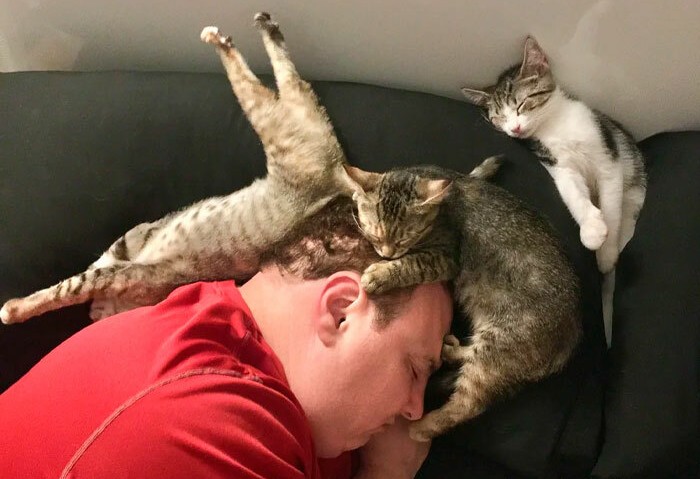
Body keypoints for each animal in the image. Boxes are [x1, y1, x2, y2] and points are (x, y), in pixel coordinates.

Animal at [0, 13, 354, 325]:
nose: (93, 314)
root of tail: (338, 171)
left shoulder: (120, 271)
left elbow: (66, 288)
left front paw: (14, 309)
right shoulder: (128, 247)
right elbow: (87, 271)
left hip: (271, 121)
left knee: (268, 76)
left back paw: (230, 35)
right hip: (284, 115)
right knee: (288, 76)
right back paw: (259, 26)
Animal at [344, 162, 582, 442]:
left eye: (404, 239)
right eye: (376, 235)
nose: (387, 253)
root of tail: (571, 336)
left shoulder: (445, 258)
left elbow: (412, 264)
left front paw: (381, 275)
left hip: (500, 346)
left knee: (467, 405)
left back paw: (421, 428)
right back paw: (451, 350)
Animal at [461, 36, 646, 346]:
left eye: (522, 104)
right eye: (499, 118)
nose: (515, 129)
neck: (555, 125)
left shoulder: (608, 157)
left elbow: (611, 204)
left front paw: (605, 254)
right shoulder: (557, 164)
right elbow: (573, 194)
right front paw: (592, 229)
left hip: (634, 174)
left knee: (628, 210)